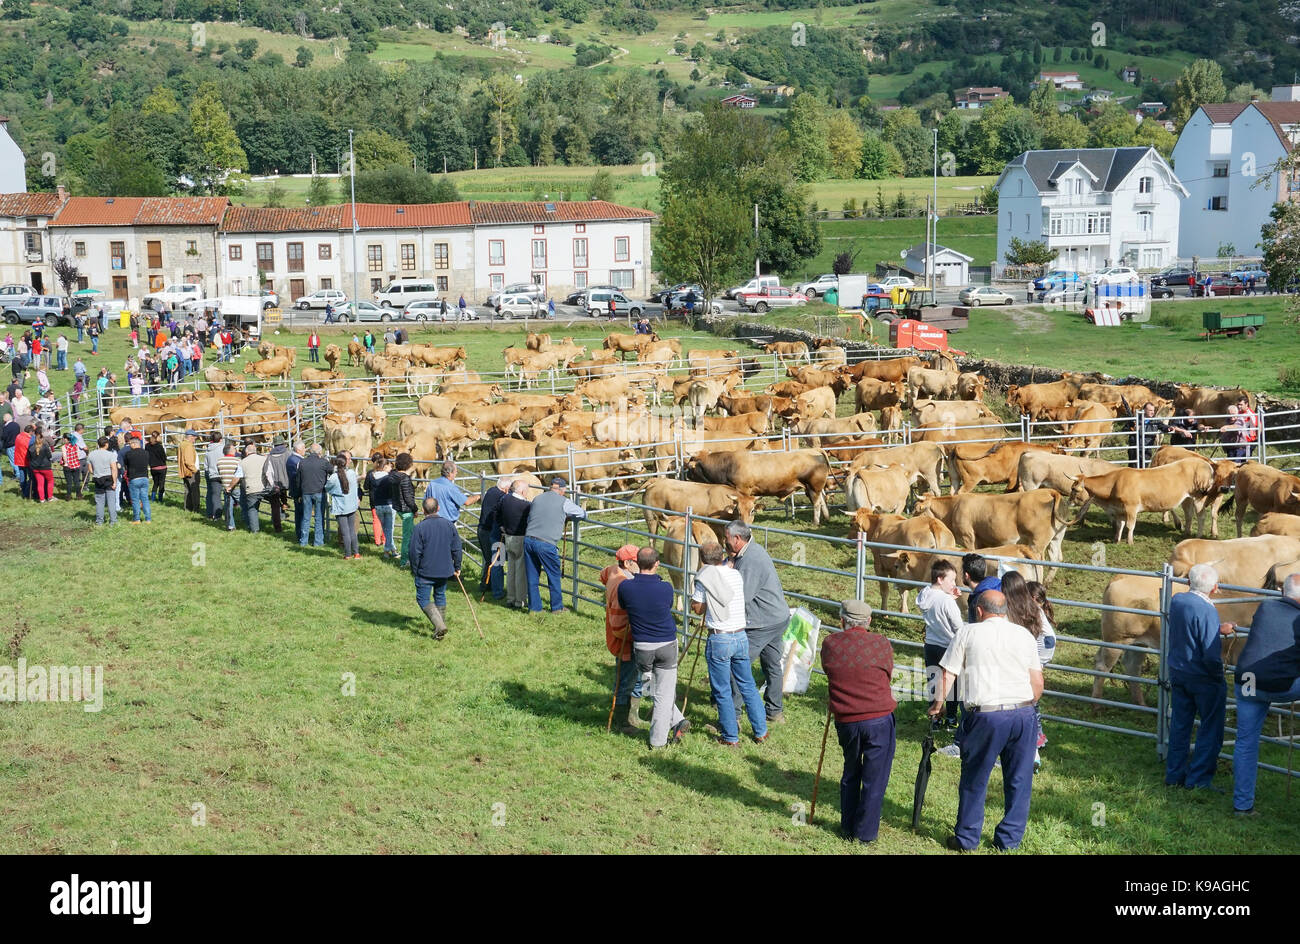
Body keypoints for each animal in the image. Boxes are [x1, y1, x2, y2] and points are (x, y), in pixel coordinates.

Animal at [681, 449, 832, 525]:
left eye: (690, 467)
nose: (686, 476)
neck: (727, 465)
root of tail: (814, 451)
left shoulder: (743, 490)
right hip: (814, 488)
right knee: (822, 500)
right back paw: (827, 518)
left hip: (813, 486)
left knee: (817, 503)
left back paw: (815, 522)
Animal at [915, 491, 1076, 566]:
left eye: (916, 510)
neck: (953, 508)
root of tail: (1050, 491)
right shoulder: (981, 541)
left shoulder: (968, 538)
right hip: (1057, 537)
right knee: (1056, 558)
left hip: (1037, 542)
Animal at [1066, 457, 1227, 543]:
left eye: (1074, 489)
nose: (1068, 502)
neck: (1116, 482)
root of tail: (1205, 463)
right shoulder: (1119, 510)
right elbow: (1120, 525)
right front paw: (1116, 540)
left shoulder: (1131, 508)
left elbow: (1130, 526)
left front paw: (1129, 542)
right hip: (1187, 498)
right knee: (1189, 515)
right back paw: (1186, 533)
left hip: (1199, 497)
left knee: (1201, 516)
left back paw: (1198, 536)